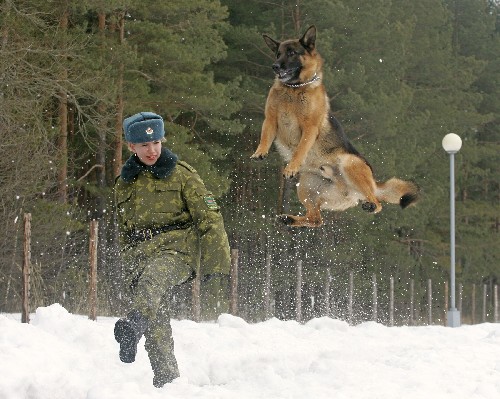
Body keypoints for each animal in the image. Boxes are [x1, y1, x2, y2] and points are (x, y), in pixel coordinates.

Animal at [250, 25, 418, 228]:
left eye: (291, 53)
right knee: (316, 219)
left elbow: (300, 150)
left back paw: (371, 205)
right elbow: (265, 136)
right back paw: (288, 218)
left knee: (377, 204)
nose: (275, 66)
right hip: (307, 184)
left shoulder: (309, 128)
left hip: (349, 163)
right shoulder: (270, 119)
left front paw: (291, 167)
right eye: (278, 54)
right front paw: (260, 152)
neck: (294, 88)